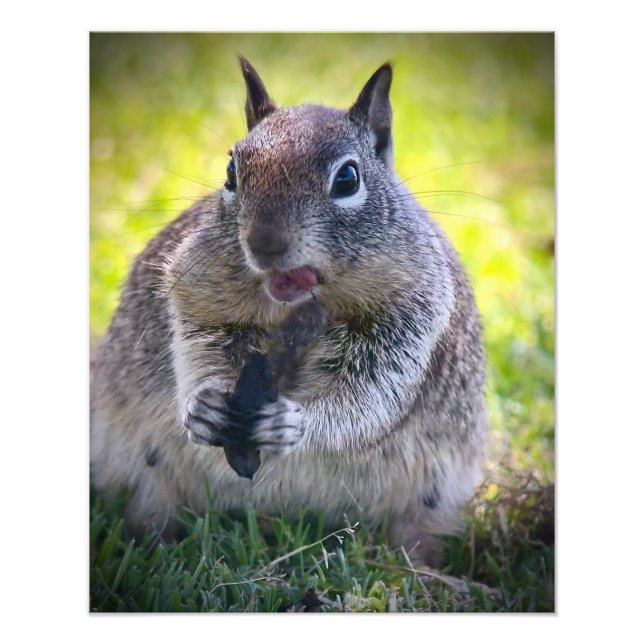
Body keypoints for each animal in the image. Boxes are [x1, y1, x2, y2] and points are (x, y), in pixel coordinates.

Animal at [90, 57, 488, 564]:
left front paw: (294, 423)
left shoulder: (408, 319)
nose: (264, 243)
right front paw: (201, 407)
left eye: (348, 179)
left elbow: (367, 398)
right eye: (231, 172)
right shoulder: (198, 296)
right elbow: (196, 348)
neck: (296, 309)